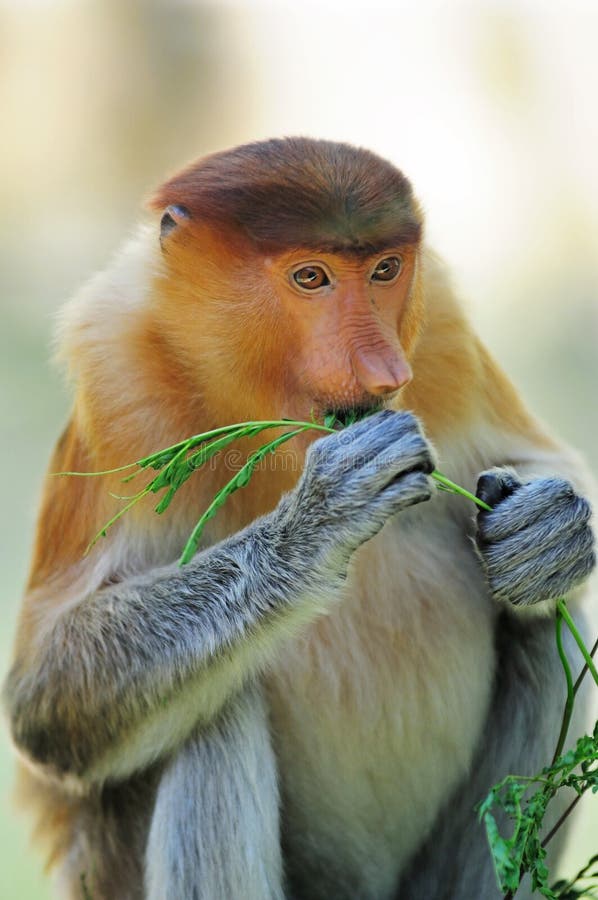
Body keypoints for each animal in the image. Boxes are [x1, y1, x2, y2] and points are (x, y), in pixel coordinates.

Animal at [3, 137, 596, 896]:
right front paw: (319, 520)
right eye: (310, 277)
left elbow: (538, 461)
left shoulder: (440, 327)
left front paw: (549, 530)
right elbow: (44, 693)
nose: (383, 371)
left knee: (543, 623)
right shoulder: (115, 380)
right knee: (211, 708)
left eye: (384, 270)